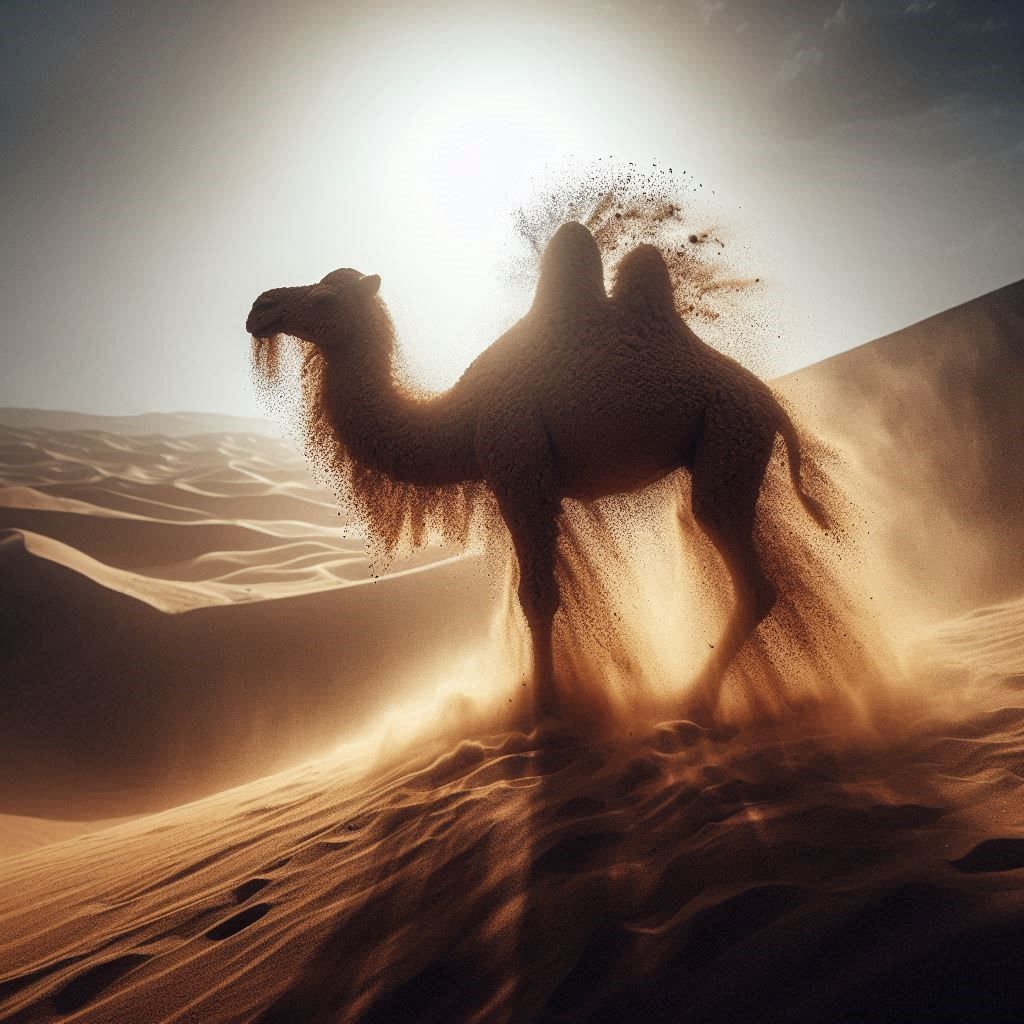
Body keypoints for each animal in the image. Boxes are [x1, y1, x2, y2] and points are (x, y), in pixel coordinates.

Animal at [246, 222, 828, 722]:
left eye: (325, 298)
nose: (261, 306)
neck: (463, 415)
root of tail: (772, 404)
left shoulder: (520, 470)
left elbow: (538, 597)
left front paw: (545, 713)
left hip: (729, 437)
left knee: (749, 575)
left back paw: (695, 700)